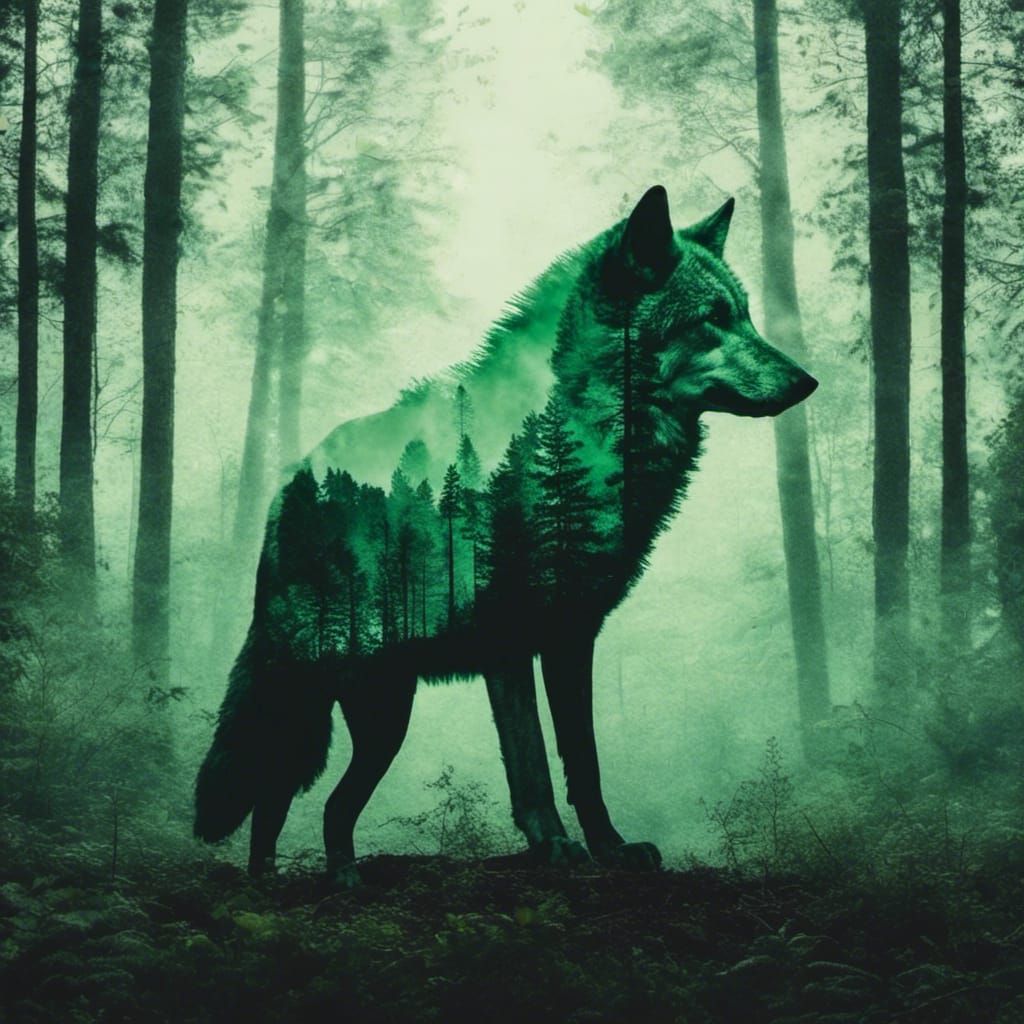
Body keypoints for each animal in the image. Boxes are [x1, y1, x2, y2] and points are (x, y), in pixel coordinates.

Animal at [194, 186, 817, 883]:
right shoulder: (508, 642)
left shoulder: (573, 636)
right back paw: (273, 883)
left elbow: (584, 760)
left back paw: (340, 878)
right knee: (277, 789)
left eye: (747, 317)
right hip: (330, 698)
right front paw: (555, 848)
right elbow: (532, 764)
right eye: (711, 319)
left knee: (325, 803)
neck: (581, 432)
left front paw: (611, 848)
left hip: (384, 715)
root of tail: (289, 486)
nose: (807, 381)